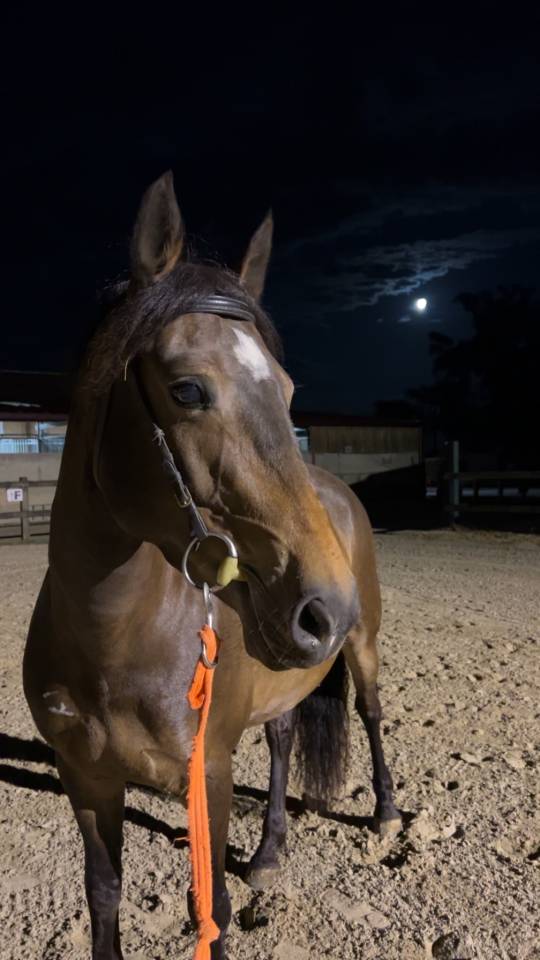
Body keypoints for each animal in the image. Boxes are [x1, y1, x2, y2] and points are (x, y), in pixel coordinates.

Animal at [23, 171, 401, 960]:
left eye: (287, 392)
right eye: (188, 390)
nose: (324, 607)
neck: (114, 641)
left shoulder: (212, 776)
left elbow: (213, 907)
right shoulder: (87, 783)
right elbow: (103, 899)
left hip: (364, 645)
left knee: (372, 712)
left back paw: (384, 814)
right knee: (283, 736)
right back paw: (270, 851)